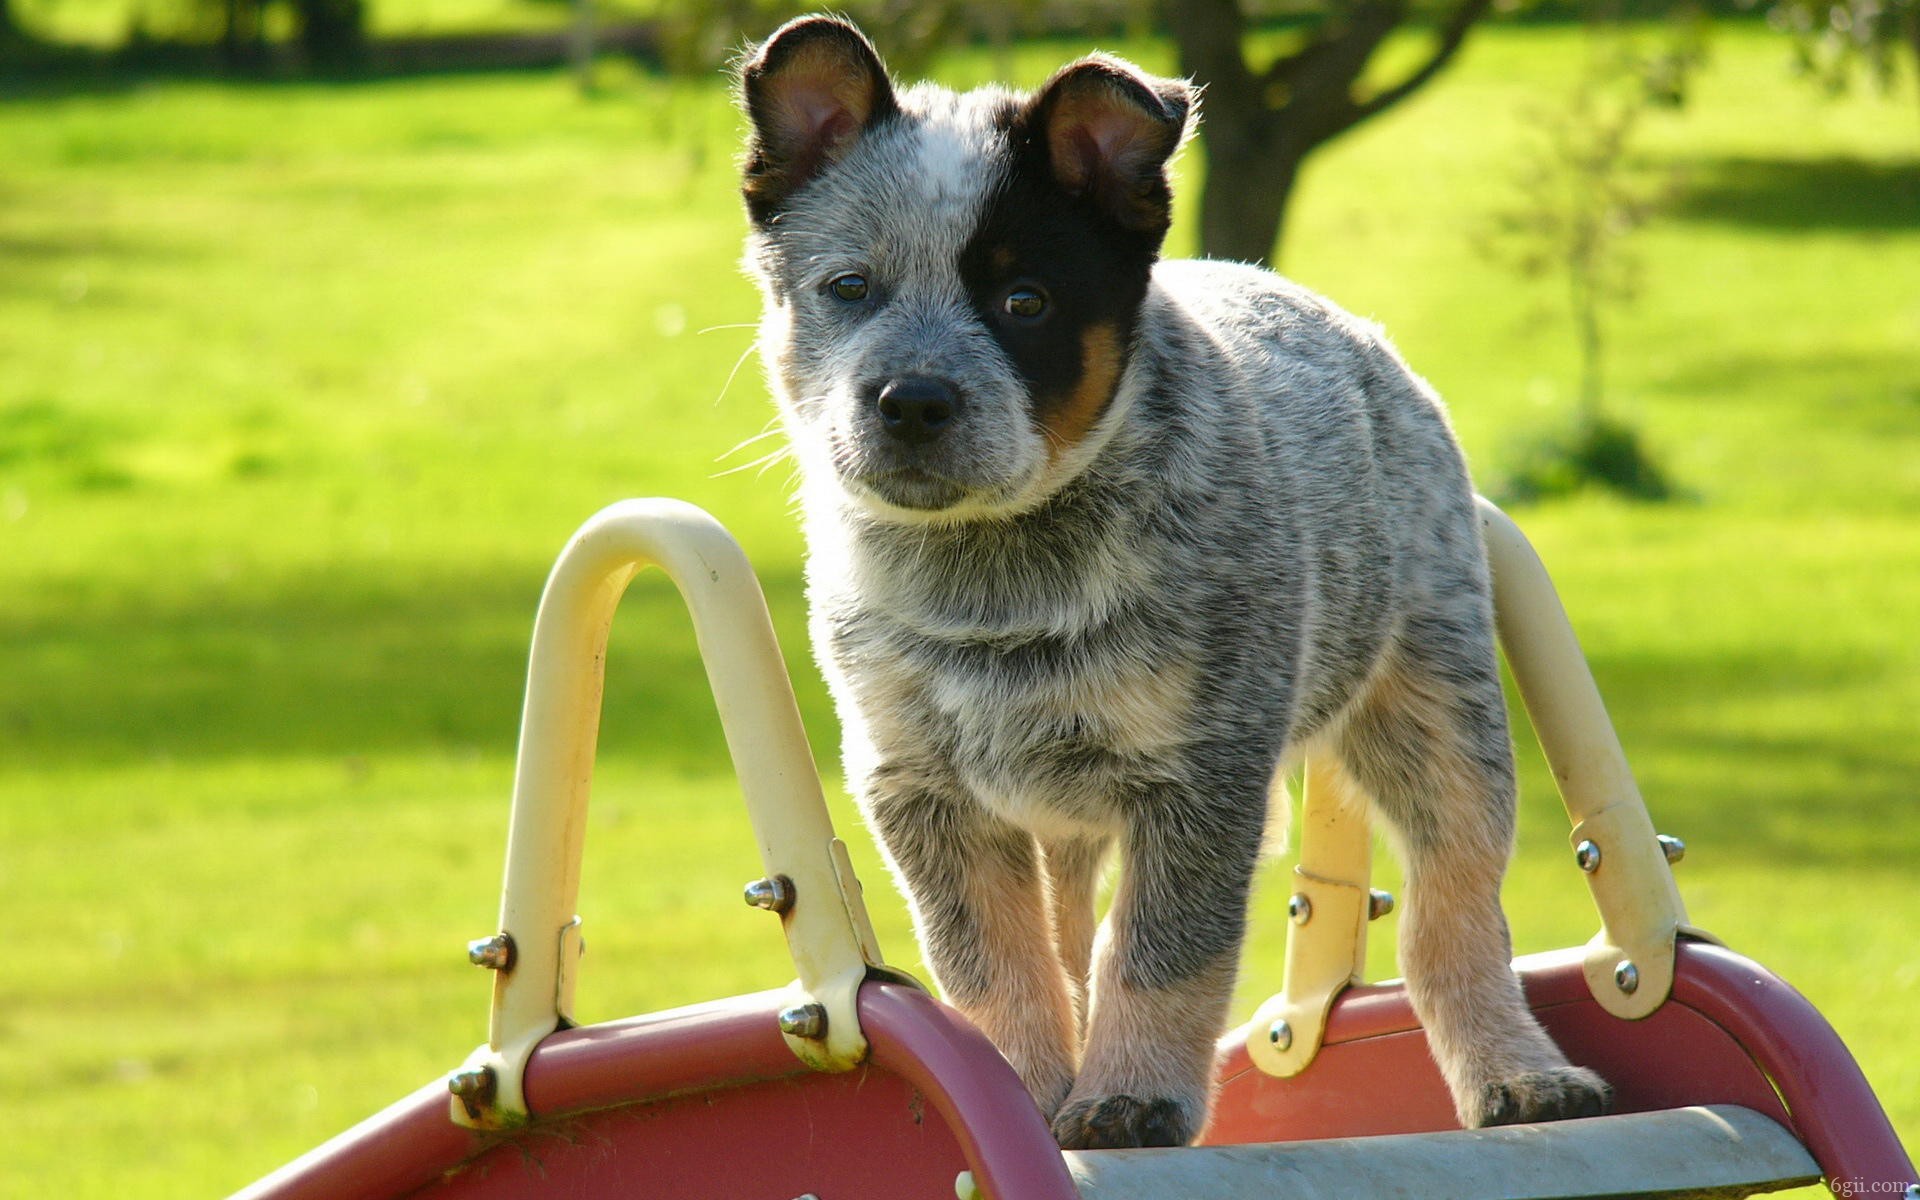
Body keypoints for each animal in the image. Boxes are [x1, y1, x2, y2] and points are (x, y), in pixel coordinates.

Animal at [733, 14, 1605, 1144]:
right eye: (849, 287)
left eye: (1024, 300)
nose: (912, 400)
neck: (995, 582)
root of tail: (1344, 324)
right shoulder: (923, 787)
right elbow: (996, 967)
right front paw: (1022, 1087)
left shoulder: (1204, 773)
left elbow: (1162, 953)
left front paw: (1129, 1097)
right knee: (1069, 937)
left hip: (1437, 707)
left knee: (1454, 910)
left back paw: (1520, 1073)